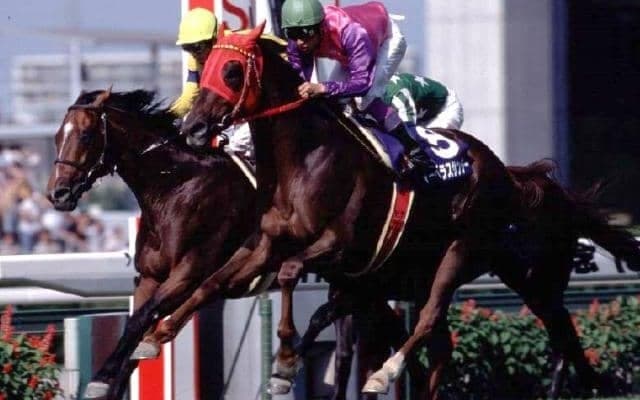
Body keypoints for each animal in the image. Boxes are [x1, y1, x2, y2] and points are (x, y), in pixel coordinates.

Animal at [174, 22, 640, 399]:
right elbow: (212, 282)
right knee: (526, 340)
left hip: (475, 257)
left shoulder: (339, 248)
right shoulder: (272, 245)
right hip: (479, 278)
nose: (193, 127)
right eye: (206, 65)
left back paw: (385, 372)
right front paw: (162, 330)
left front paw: (286, 362)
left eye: (232, 71)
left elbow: (290, 276)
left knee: (436, 321)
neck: (308, 159)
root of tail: (509, 175)